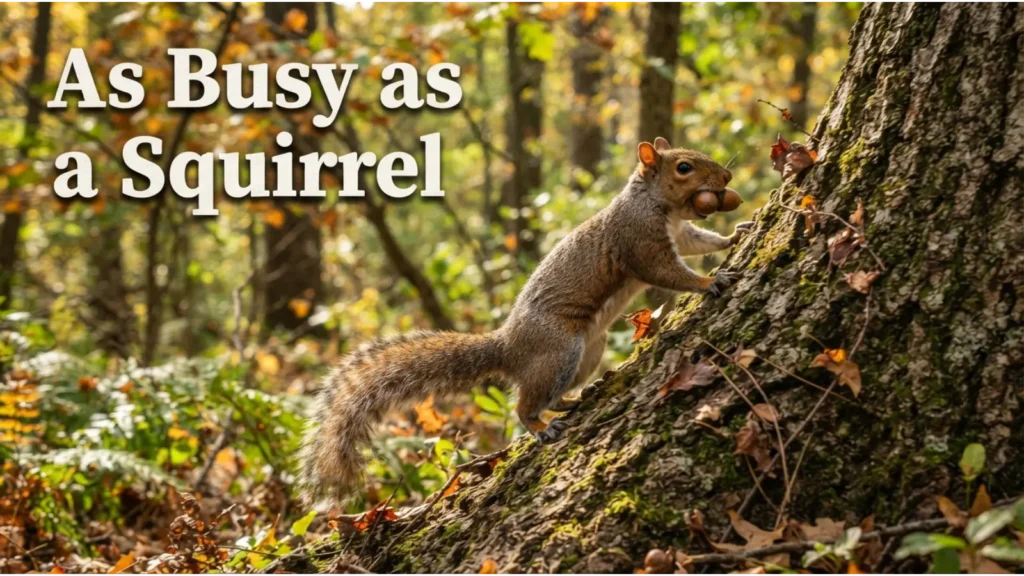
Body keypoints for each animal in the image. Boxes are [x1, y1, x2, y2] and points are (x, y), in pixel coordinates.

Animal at [299, 137, 752, 505]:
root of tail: (508, 346)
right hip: (559, 350)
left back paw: (574, 398)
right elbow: (668, 272)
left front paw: (734, 235)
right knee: (524, 405)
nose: (728, 176)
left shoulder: (680, 232)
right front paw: (710, 281)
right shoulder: (640, 240)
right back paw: (540, 427)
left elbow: (699, 242)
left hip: (589, 351)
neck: (655, 203)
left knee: (551, 394)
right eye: (684, 167)